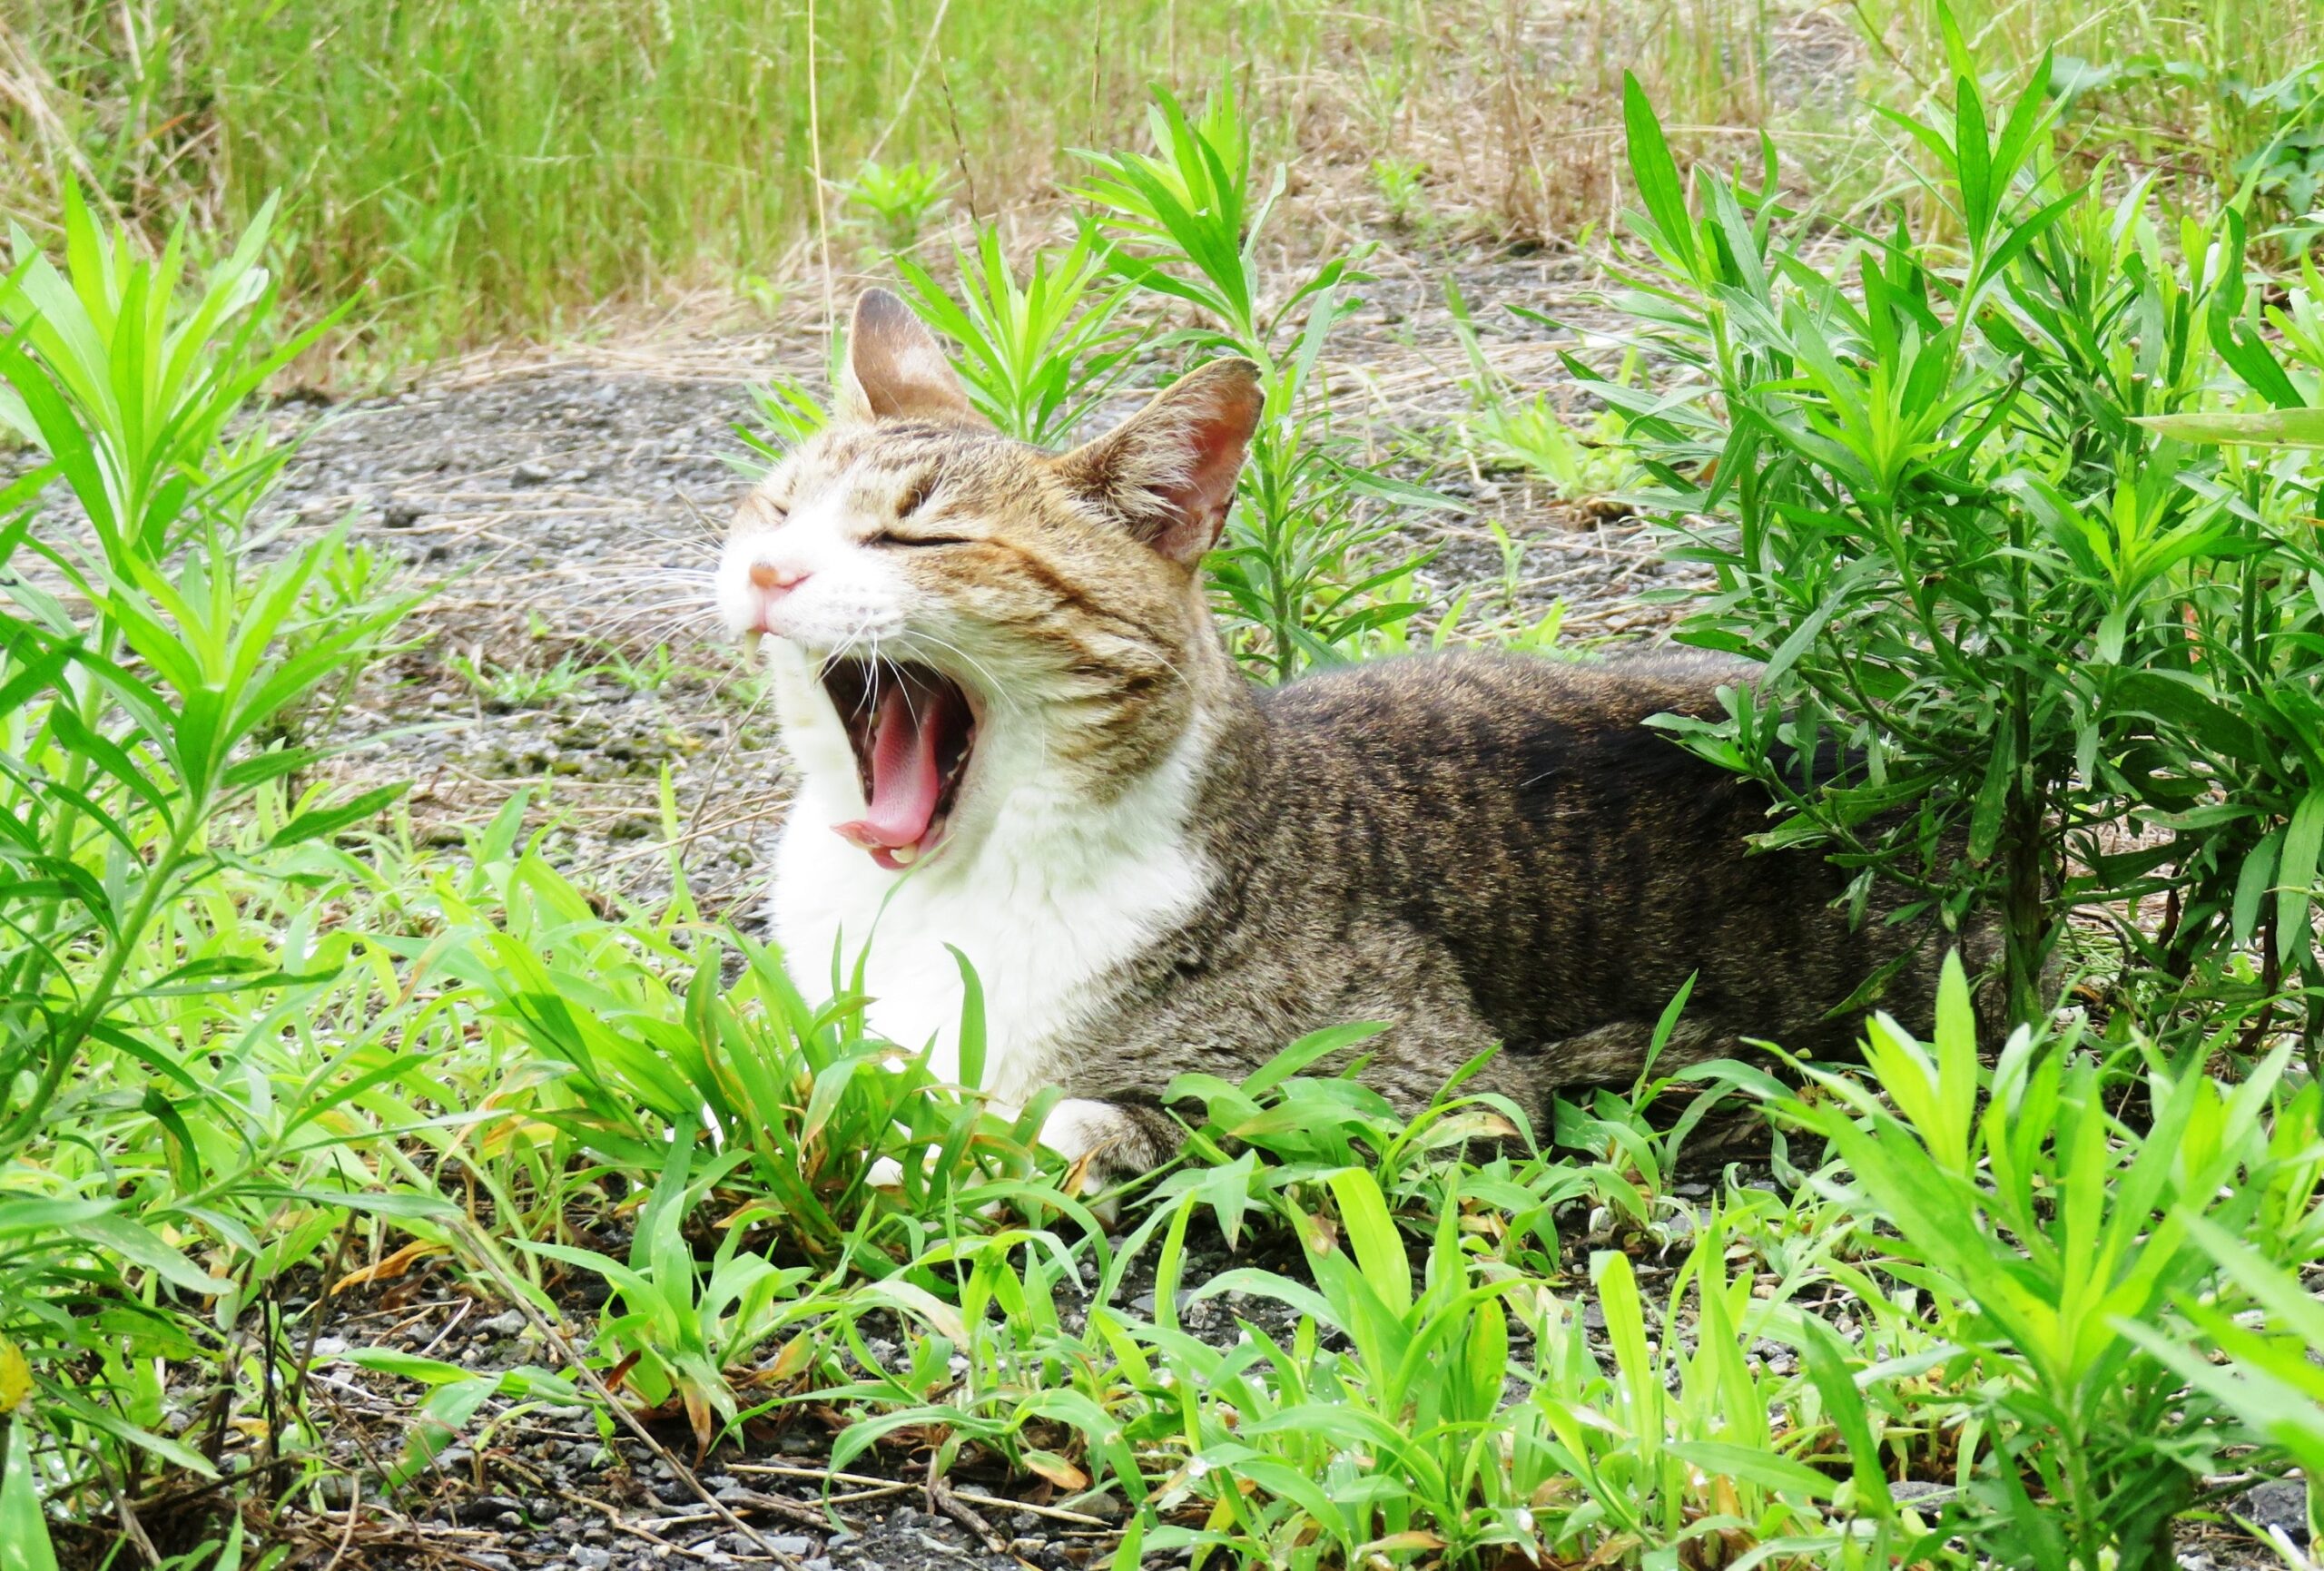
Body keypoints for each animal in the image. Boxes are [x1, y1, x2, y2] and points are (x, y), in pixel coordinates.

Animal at [715, 291, 1970, 1180]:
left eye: (918, 538)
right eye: (777, 510)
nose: (770, 572)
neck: (933, 891)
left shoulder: (1436, 1086)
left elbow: (1086, 1119)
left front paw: (910, 1144)